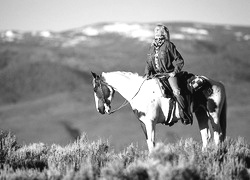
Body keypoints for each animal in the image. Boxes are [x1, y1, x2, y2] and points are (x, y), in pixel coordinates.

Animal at [91, 70, 227, 152]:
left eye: (95, 89)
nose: (100, 109)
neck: (140, 92)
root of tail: (218, 84)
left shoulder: (150, 122)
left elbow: (152, 143)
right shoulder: (143, 123)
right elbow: (149, 143)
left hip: (213, 115)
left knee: (217, 136)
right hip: (201, 113)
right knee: (206, 136)